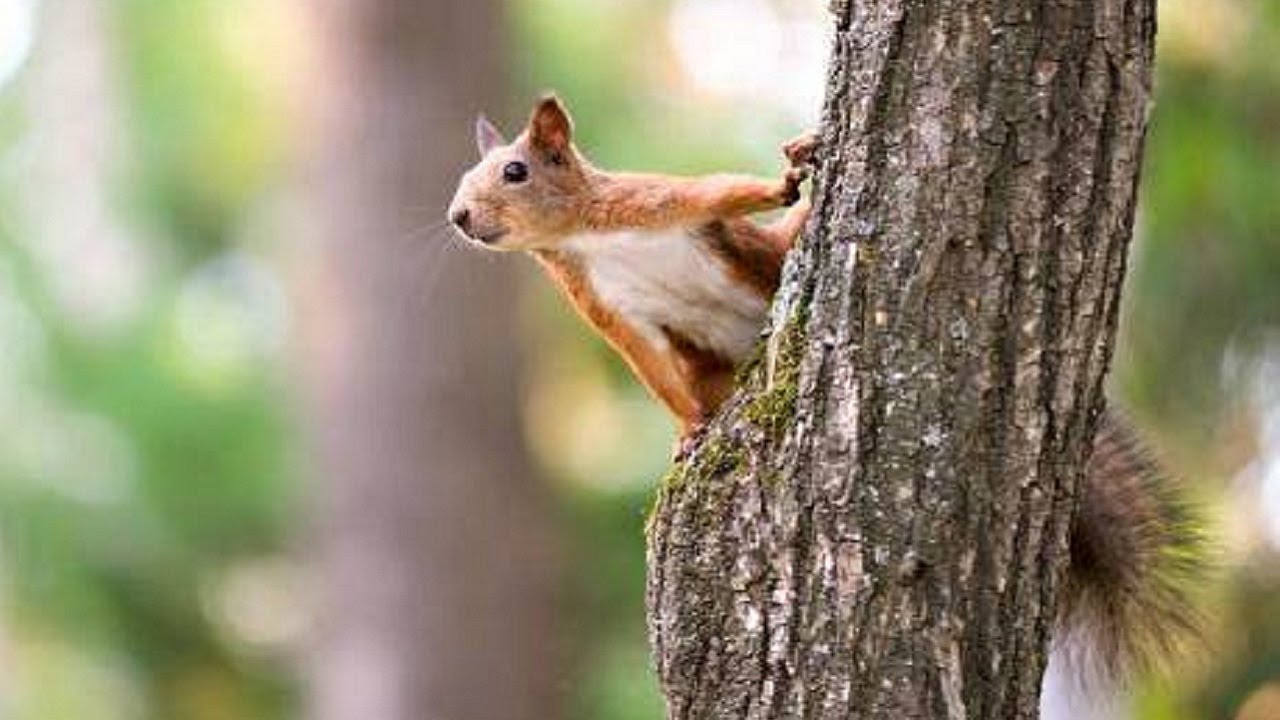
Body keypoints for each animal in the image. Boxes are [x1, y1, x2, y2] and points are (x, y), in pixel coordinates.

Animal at [447, 94, 1206, 696]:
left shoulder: (655, 202)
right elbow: (658, 374)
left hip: (769, 258)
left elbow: (722, 194)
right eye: (463, 179)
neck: (585, 238)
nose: (458, 216)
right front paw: (691, 431)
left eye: (515, 171)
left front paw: (787, 174)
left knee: (782, 236)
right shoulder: (612, 313)